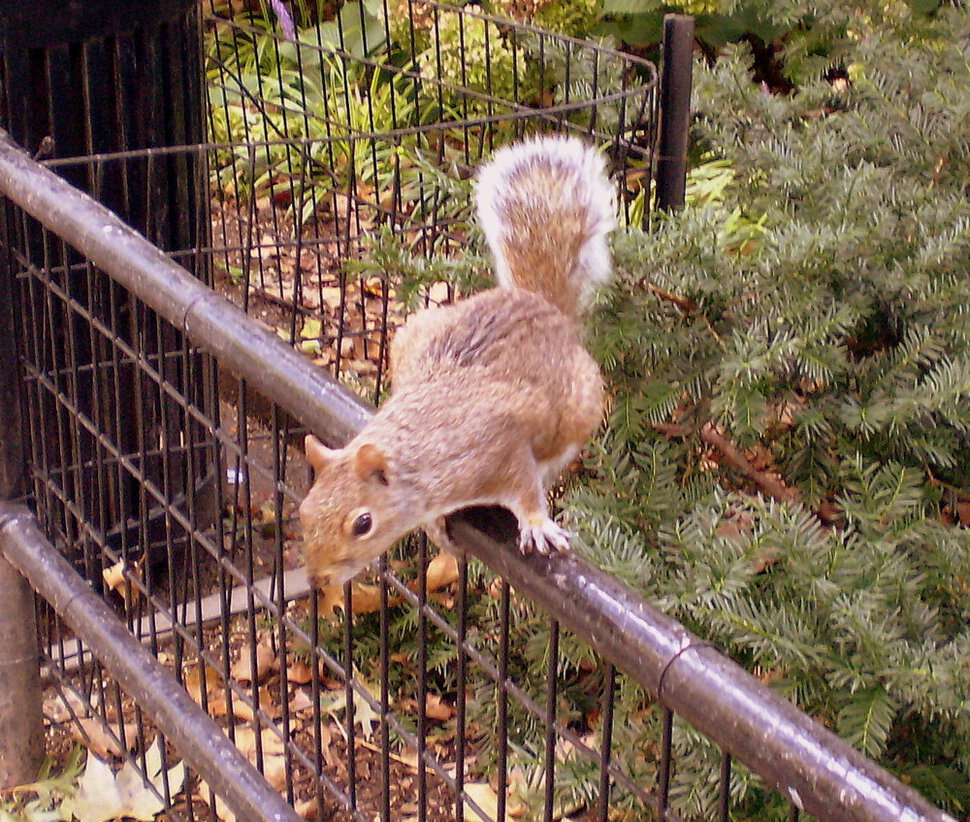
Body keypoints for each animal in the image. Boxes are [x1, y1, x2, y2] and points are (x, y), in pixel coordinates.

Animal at [298, 135, 612, 588]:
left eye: (363, 523)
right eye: (304, 510)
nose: (318, 580)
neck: (418, 460)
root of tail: (540, 305)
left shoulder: (498, 447)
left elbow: (524, 488)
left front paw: (536, 523)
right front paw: (433, 527)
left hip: (577, 407)